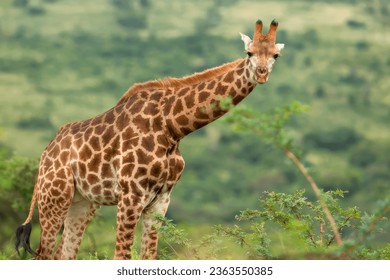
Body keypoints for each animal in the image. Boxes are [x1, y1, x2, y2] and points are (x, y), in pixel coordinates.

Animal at [15, 20, 284, 260]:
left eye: (275, 55)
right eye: (249, 52)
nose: (261, 74)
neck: (172, 127)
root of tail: (46, 152)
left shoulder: (161, 200)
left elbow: (148, 256)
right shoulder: (131, 196)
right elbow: (122, 256)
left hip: (82, 203)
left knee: (63, 254)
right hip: (54, 196)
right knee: (43, 254)